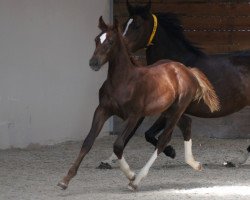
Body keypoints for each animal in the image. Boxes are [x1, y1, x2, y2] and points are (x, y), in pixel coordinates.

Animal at [57, 17, 220, 191]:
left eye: (111, 41)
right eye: (96, 39)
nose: (93, 62)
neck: (123, 81)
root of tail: (187, 70)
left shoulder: (134, 116)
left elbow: (118, 145)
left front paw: (131, 175)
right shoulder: (102, 110)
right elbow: (88, 141)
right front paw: (65, 180)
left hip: (177, 109)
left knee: (163, 140)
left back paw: (137, 181)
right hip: (169, 110)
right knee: (186, 123)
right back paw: (194, 163)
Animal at [100, 0, 250, 168]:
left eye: (137, 25)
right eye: (125, 24)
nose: (120, 47)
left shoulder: (171, 109)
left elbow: (148, 133)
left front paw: (170, 151)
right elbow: (136, 133)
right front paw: (107, 160)